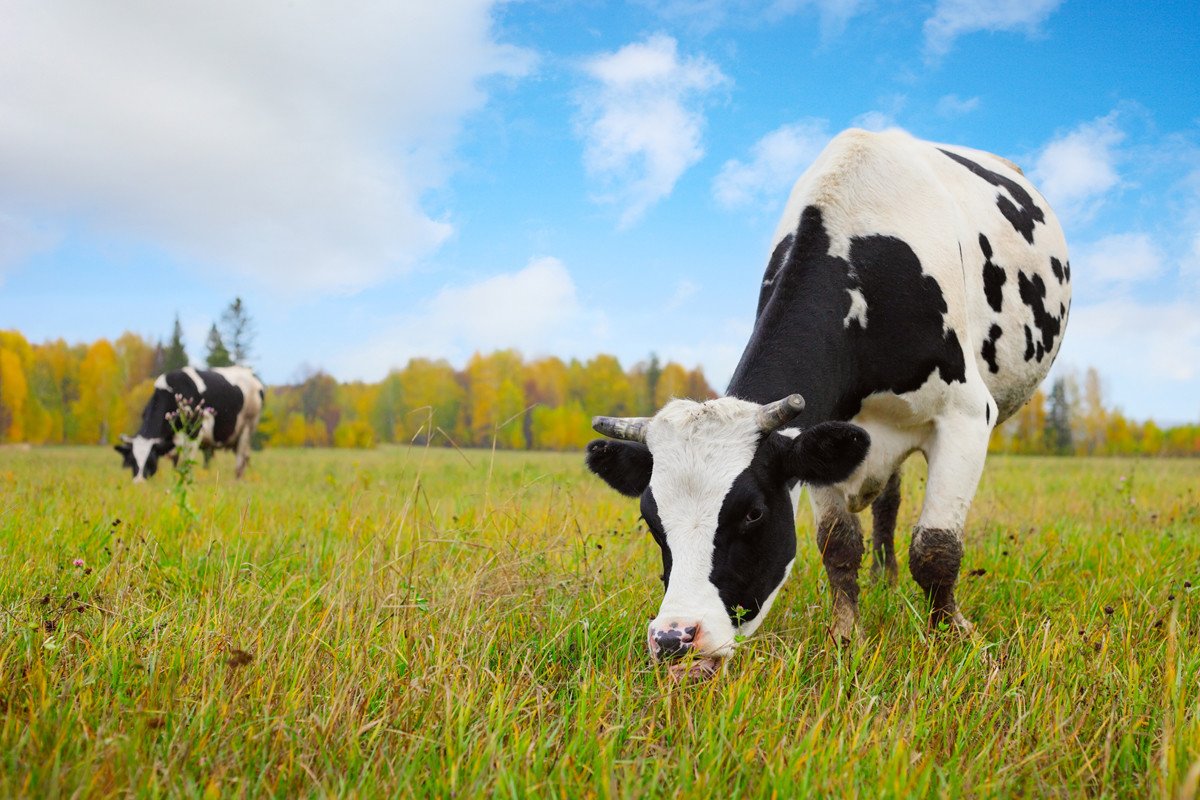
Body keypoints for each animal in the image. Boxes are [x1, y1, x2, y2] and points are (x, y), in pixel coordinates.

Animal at [115, 364, 265, 482]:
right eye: (132, 461)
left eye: (151, 461)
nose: (139, 482)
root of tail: (251, 374)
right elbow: (175, 461)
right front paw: (174, 478)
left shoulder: (195, 433)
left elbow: (186, 463)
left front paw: (184, 480)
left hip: (247, 427)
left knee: (240, 459)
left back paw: (237, 481)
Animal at [585, 126, 1065, 676]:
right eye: (650, 517)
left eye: (753, 512)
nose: (675, 638)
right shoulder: (820, 432)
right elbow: (839, 544)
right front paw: (845, 636)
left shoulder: (966, 415)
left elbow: (936, 548)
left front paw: (952, 638)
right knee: (888, 500)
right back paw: (883, 578)